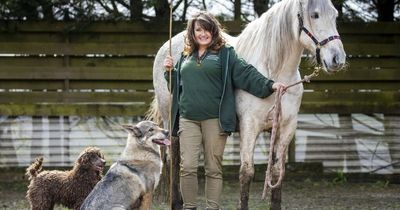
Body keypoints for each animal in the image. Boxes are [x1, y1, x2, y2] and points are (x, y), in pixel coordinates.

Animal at [148, 0, 346, 208]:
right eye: (315, 15)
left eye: (334, 15)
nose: (337, 58)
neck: (274, 73)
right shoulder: (249, 127)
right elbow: (246, 173)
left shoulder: (286, 128)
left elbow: (277, 173)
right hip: (173, 123)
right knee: (173, 159)